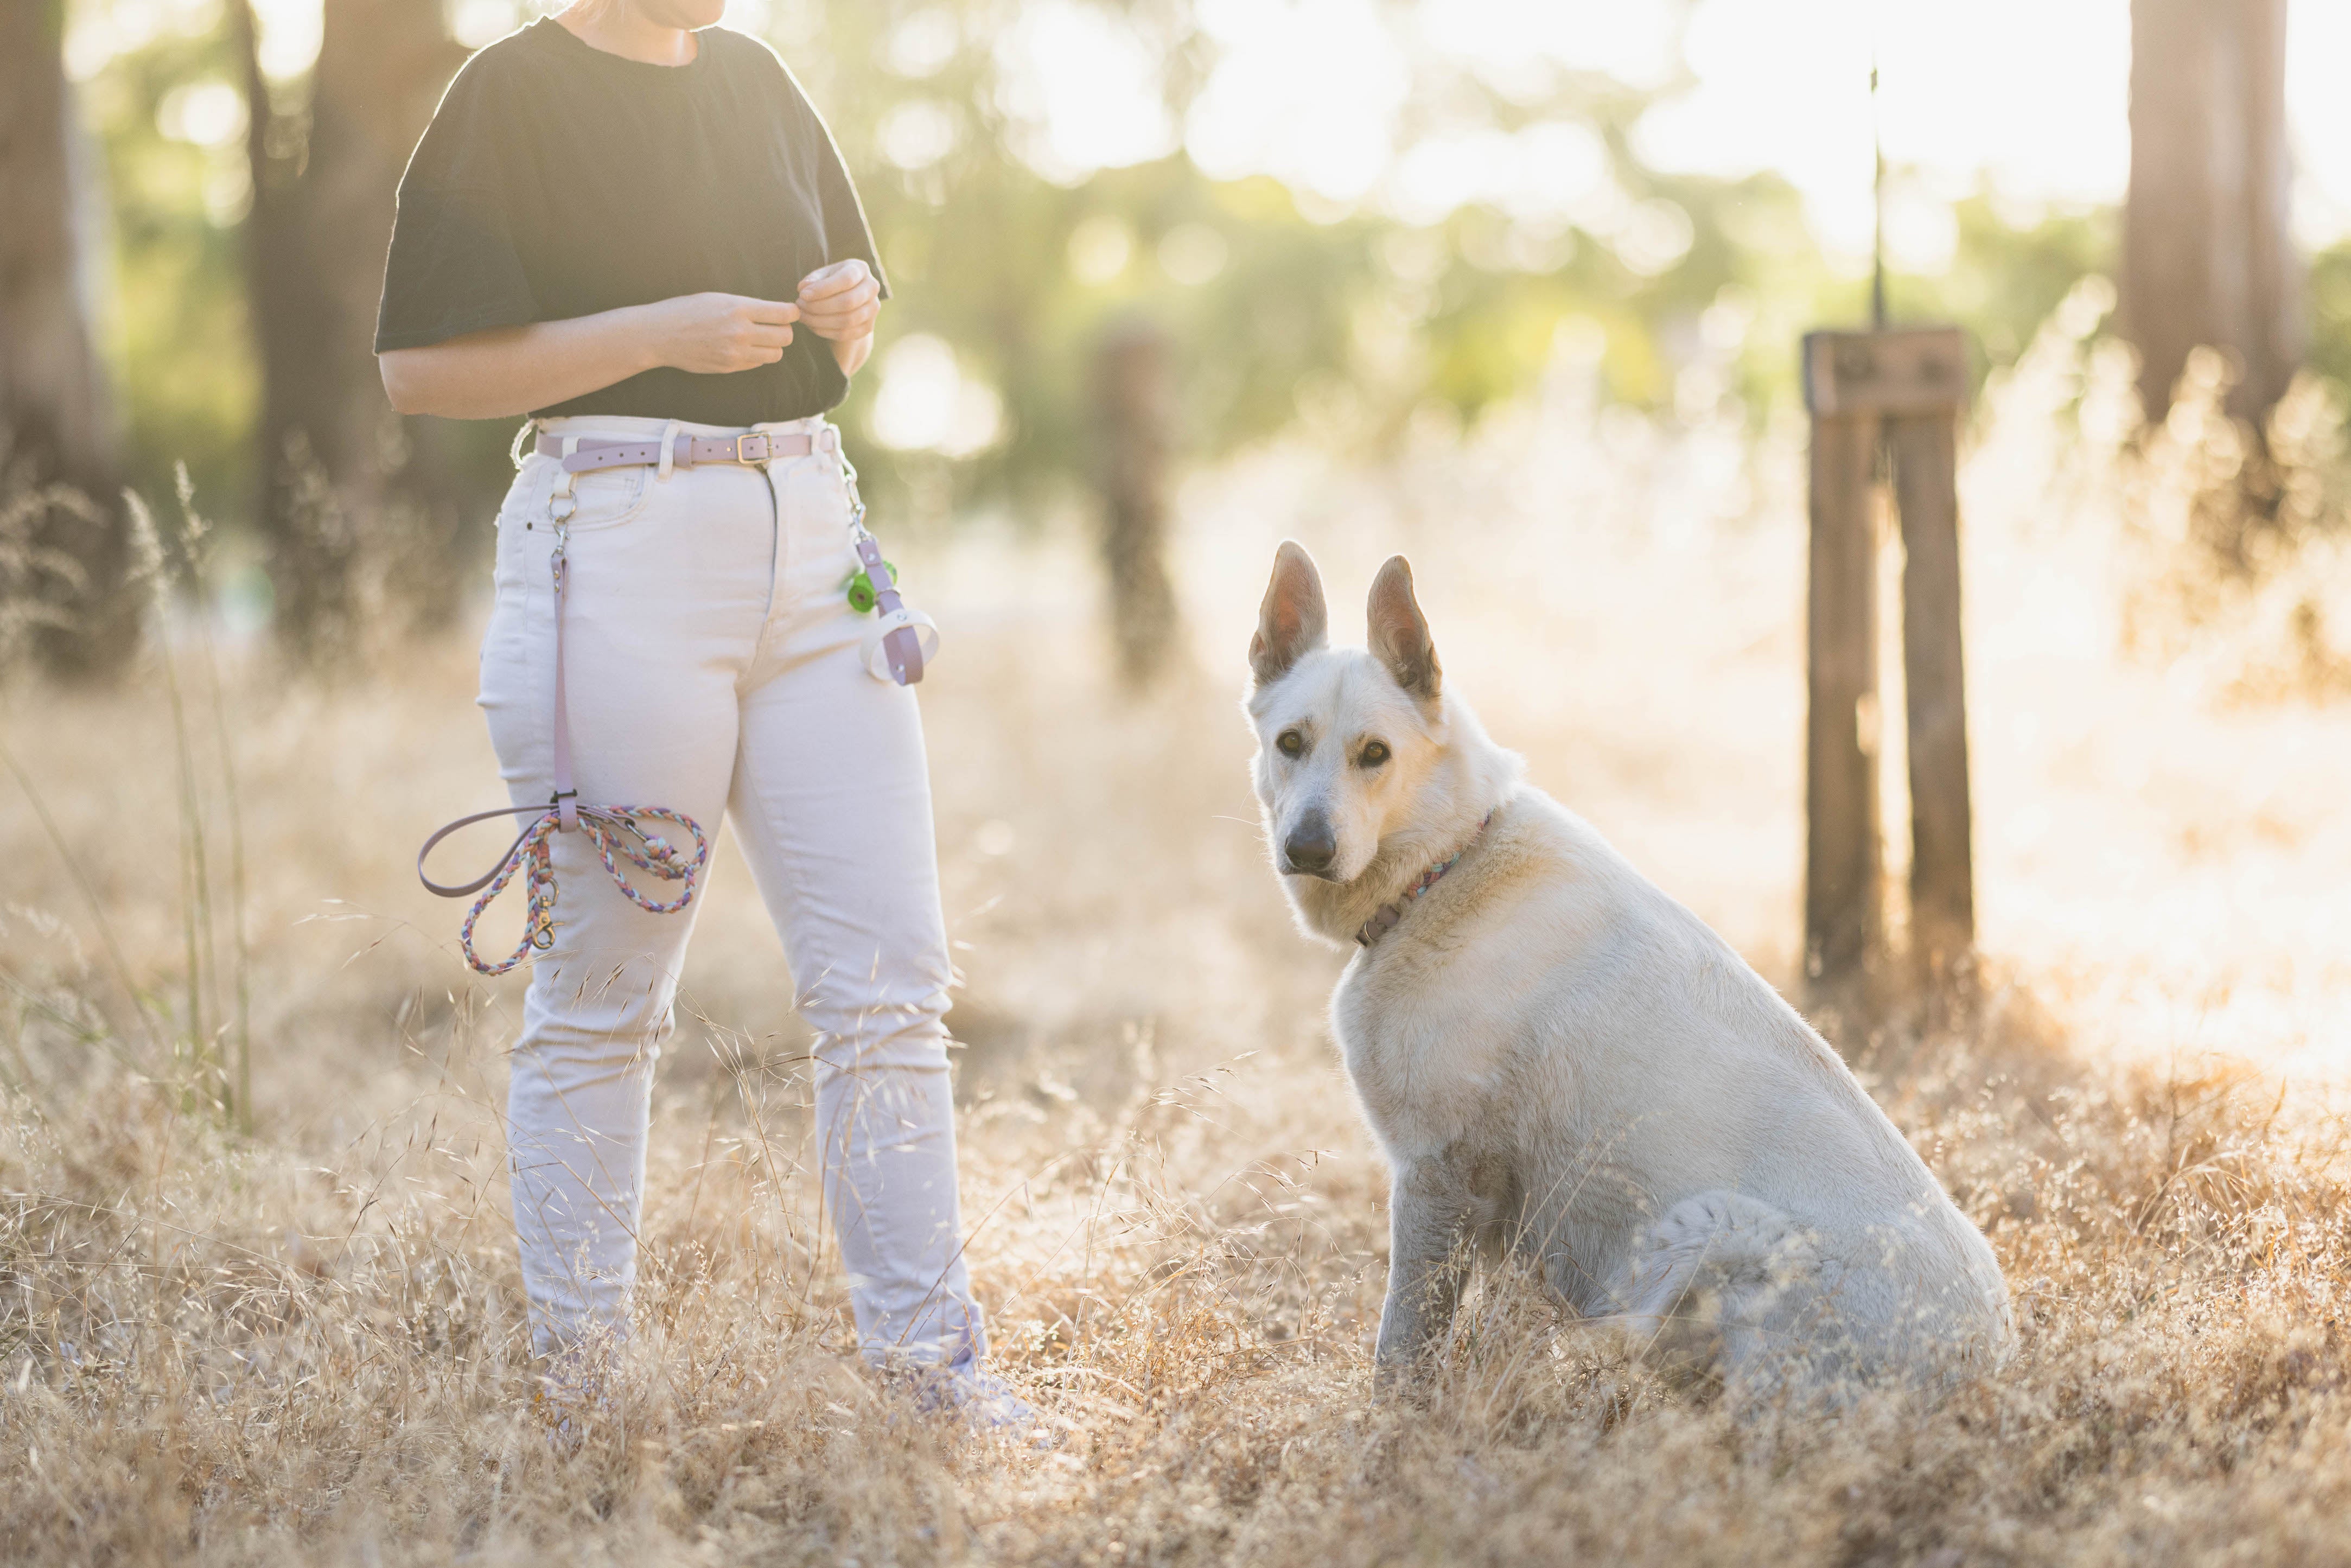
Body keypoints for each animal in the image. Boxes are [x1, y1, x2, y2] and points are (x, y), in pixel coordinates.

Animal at [1241, 543, 2012, 1410]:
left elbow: (1401, 1341)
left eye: (1374, 754)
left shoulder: (1439, 1176)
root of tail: (1985, 1364)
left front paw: (1389, 1422)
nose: (1307, 846)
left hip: (1712, 1228)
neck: (1446, 866)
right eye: (1290, 743)